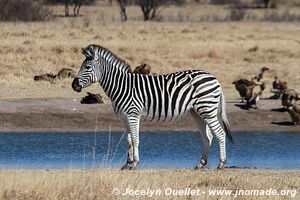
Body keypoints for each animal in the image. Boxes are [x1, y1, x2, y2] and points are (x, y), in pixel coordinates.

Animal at [72, 44, 232, 170]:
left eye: (87, 67)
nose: (74, 85)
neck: (121, 86)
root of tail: (215, 78)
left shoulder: (133, 115)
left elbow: (135, 139)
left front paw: (135, 163)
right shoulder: (124, 118)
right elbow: (128, 141)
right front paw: (127, 164)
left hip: (207, 109)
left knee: (220, 133)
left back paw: (221, 164)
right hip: (197, 112)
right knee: (207, 136)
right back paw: (201, 164)